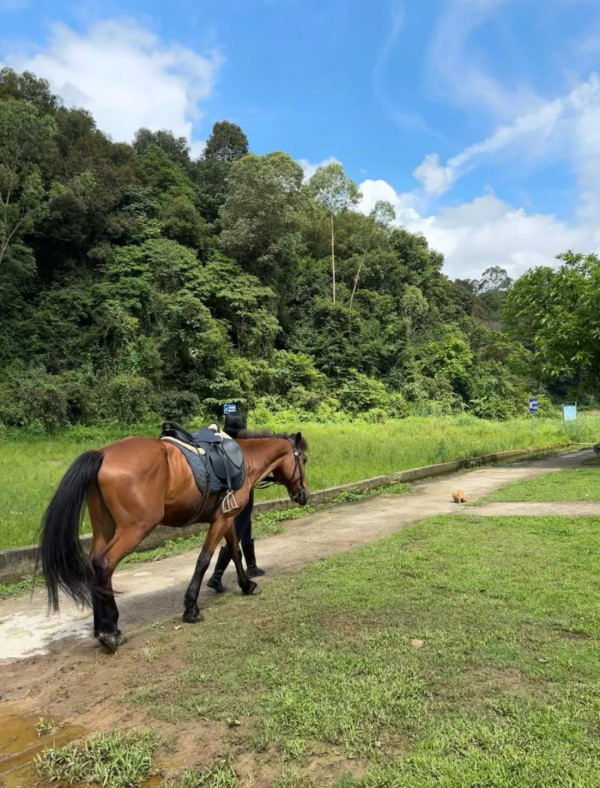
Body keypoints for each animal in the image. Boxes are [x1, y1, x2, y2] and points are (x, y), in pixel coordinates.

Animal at [38, 430, 309, 653]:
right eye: (303, 460)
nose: (304, 494)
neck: (243, 461)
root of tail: (103, 454)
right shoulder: (222, 519)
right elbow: (204, 559)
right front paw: (191, 609)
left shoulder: (227, 517)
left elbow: (234, 551)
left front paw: (246, 585)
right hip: (135, 529)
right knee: (104, 564)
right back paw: (111, 633)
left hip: (103, 529)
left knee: (94, 566)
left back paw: (100, 629)